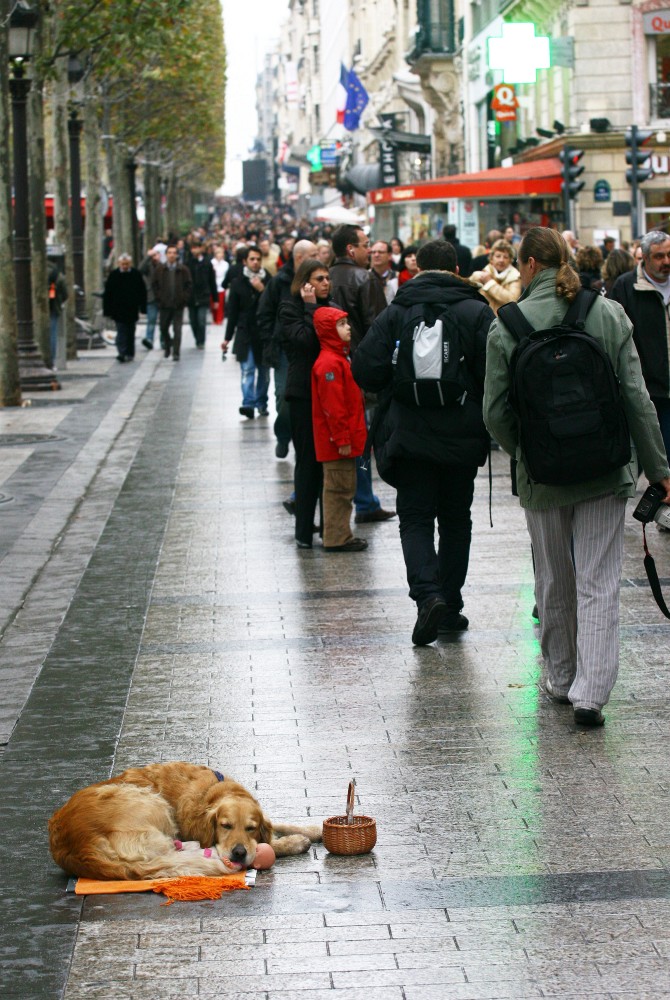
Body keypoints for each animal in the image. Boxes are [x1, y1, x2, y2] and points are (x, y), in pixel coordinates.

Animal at [48, 762, 322, 880]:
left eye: (251, 828)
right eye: (225, 826)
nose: (238, 853)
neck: (212, 792)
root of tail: (76, 848)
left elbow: (278, 824)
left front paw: (314, 830)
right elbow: (269, 844)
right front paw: (295, 842)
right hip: (149, 801)